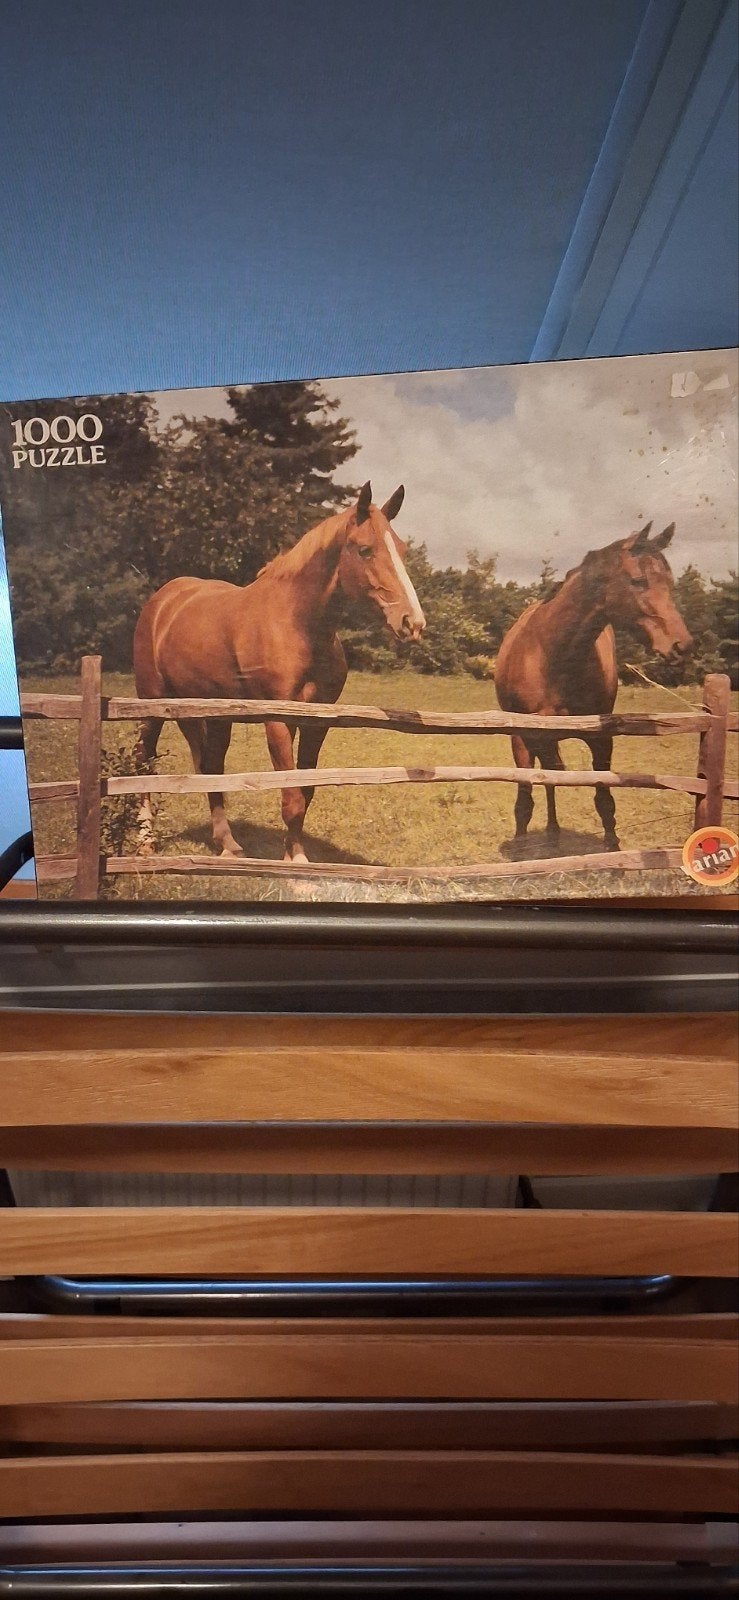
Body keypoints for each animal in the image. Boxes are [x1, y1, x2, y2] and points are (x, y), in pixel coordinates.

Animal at [132, 481, 425, 862]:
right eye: (365, 550)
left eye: (401, 550)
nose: (412, 622)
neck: (296, 624)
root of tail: (163, 600)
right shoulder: (277, 721)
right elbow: (291, 797)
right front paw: (296, 864)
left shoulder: (317, 723)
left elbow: (305, 791)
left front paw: (294, 854)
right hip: (152, 704)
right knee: (143, 761)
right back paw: (146, 839)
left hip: (214, 715)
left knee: (212, 766)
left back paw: (227, 844)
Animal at [494, 522, 693, 852]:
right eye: (638, 581)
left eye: (669, 581)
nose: (682, 645)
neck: (553, 655)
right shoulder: (522, 737)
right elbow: (524, 799)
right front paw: (521, 851)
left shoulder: (601, 738)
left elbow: (604, 799)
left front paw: (613, 850)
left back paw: (554, 833)